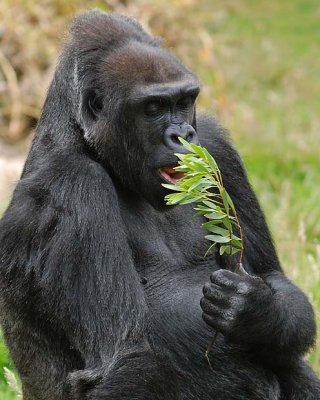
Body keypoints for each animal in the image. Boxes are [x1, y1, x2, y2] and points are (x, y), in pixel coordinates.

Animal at [0, 9, 320, 400]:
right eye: (152, 108)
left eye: (184, 101)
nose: (182, 135)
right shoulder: (72, 183)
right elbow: (130, 358)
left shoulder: (217, 148)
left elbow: (274, 279)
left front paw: (256, 310)